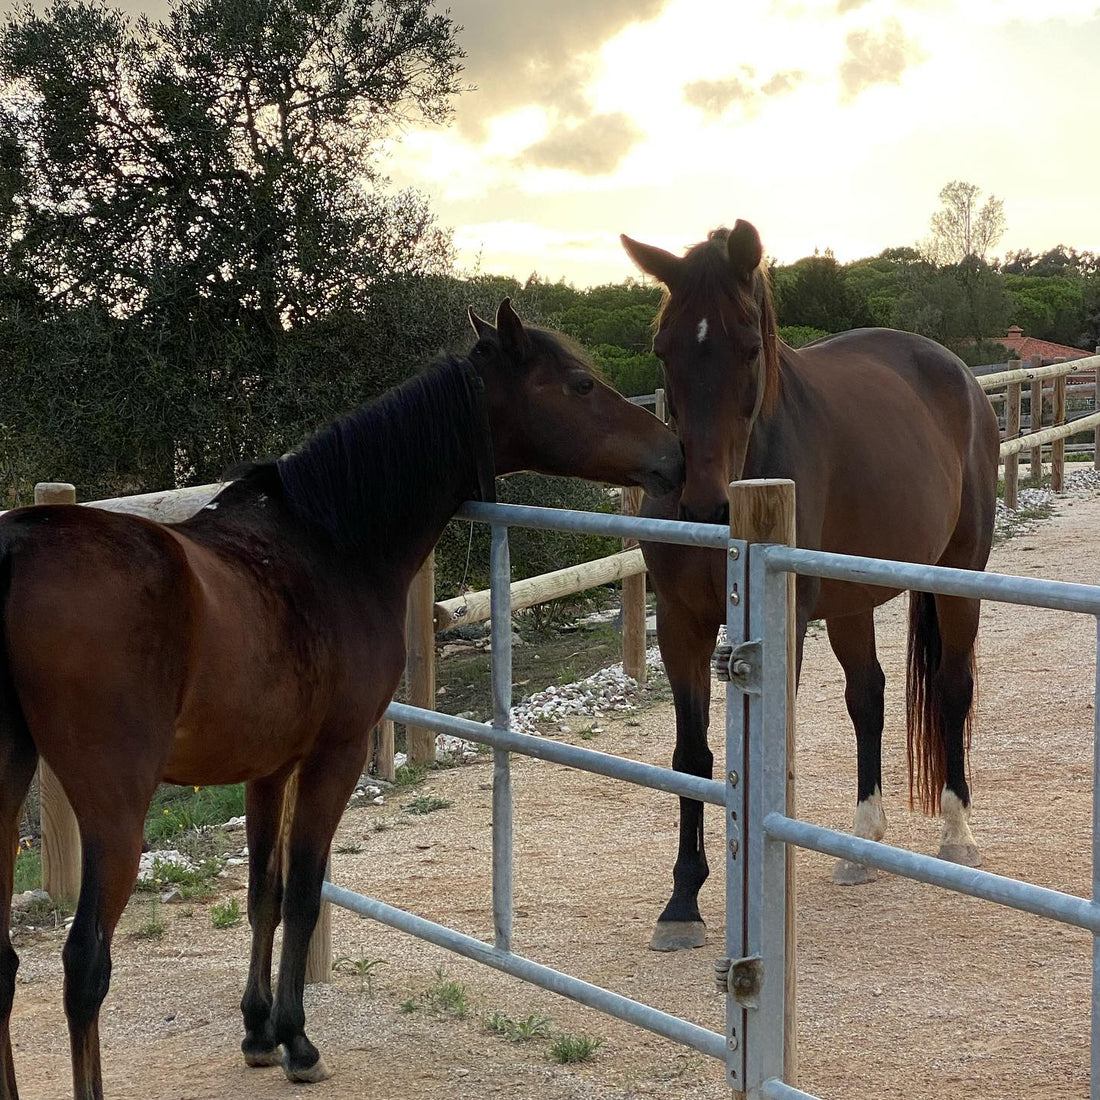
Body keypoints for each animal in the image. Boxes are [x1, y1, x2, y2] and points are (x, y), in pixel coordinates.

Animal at [0, 297, 682, 1095]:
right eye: (577, 383)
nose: (672, 453)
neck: (331, 545)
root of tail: (18, 550)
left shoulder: (267, 769)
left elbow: (263, 892)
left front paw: (257, 1029)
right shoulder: (336, 754)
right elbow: (302, 889)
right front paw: (297, 1041)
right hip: (115, 808)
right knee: (85, 965)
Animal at [624, 221, 1003, 946]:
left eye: (750, 347)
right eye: (662, 349)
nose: (705, 504)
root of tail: (961, 375)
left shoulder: (785, 622)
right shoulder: (683, 623)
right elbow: (692, 755)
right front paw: (682, 900)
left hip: (958, 576)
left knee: (952, 687)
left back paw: (959, 834)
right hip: (852, 600)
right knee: (869, 697)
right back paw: (862, 843)